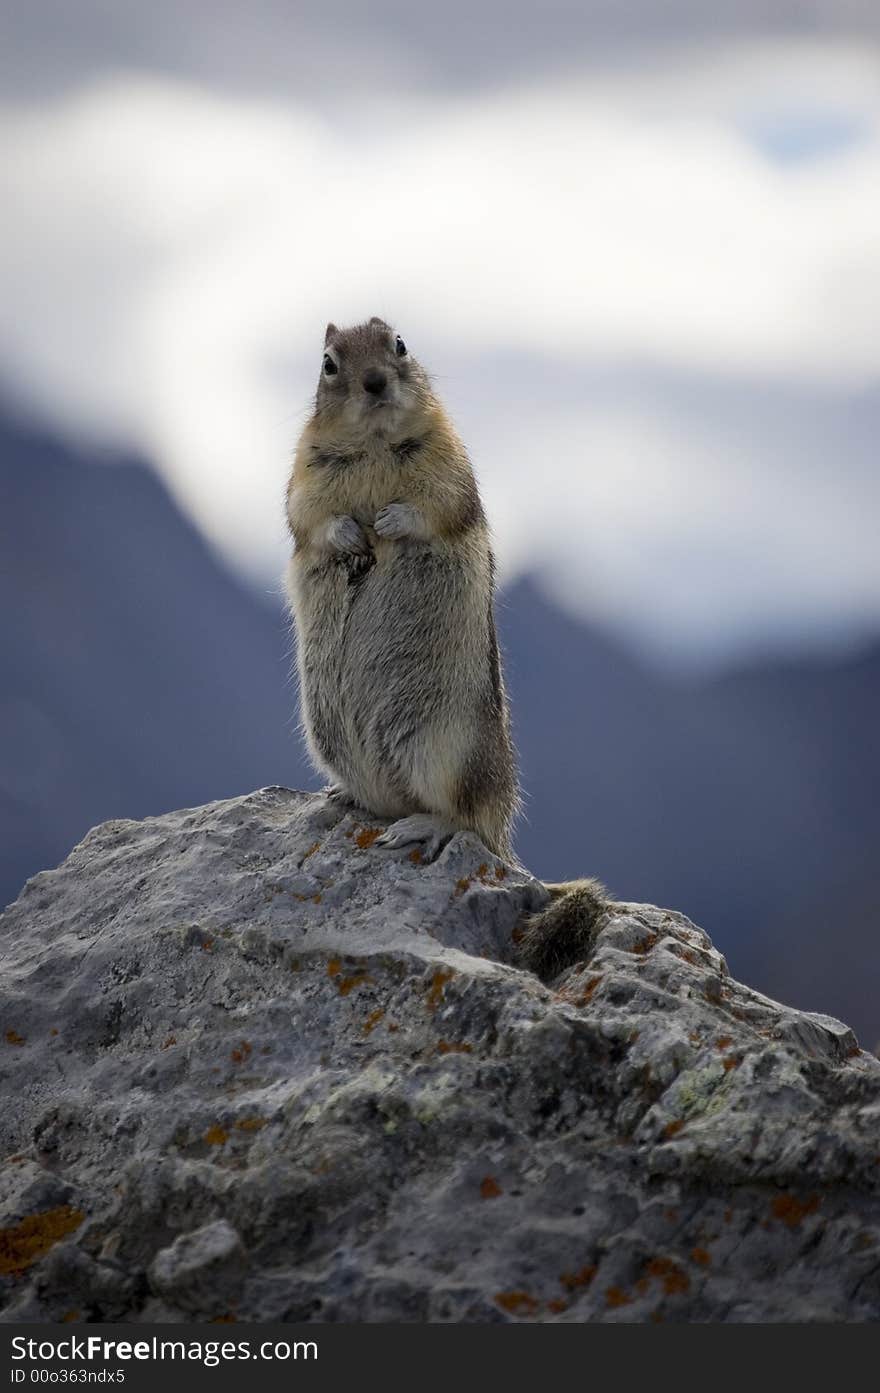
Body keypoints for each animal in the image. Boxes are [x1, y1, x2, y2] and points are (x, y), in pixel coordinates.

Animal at [285, 317, 607, 975]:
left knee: (462, 820)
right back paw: (344, 797)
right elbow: (307, 518)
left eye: (400, 344)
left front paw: (390, 522)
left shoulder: (450, 460)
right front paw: (350, 533)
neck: (375, 444)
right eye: (328, 363)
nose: (375, 382)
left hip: (444, 749)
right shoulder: (304, 472)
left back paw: (421, 827)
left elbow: (439, 508)